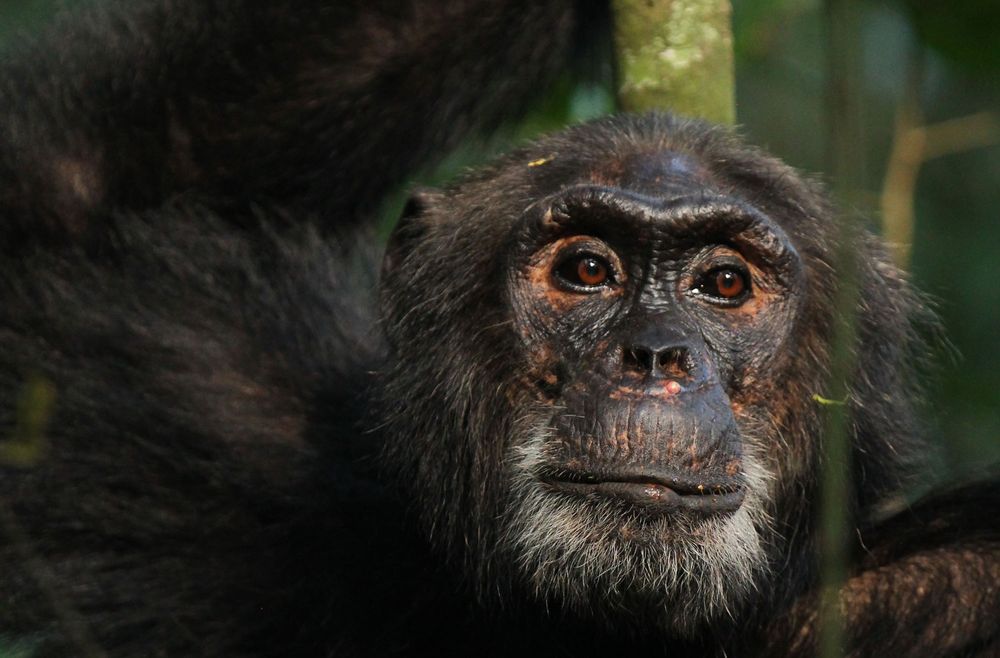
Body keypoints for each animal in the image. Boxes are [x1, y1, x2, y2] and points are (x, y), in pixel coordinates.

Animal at [1, 1, 999, 657]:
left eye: (724, 283)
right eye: (587, 271)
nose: (654, 354)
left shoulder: (953, 589)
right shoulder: (221, 419)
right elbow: (66, 194)